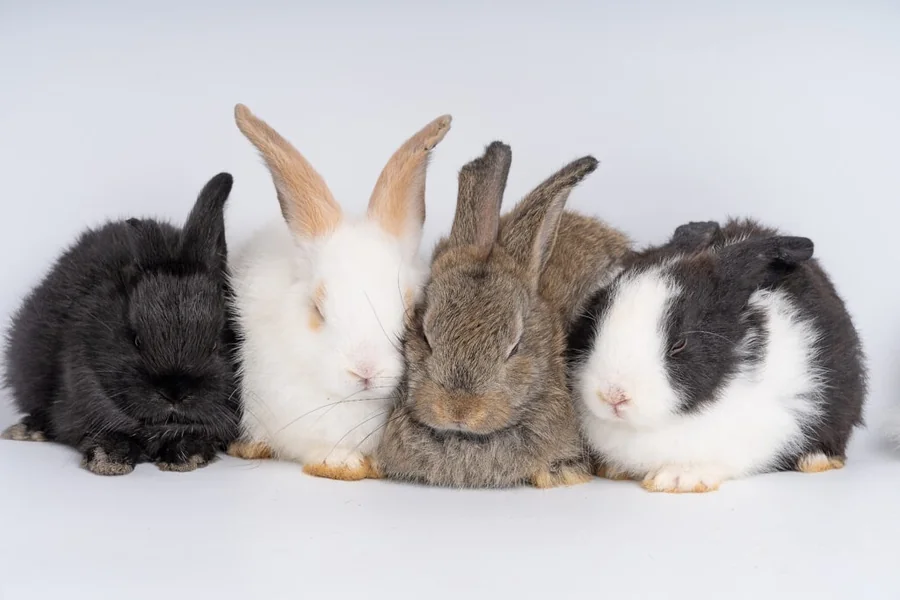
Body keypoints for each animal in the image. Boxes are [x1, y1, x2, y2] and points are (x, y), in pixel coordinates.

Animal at [1, 173, 240, 475]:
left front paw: (185, 457)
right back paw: (27, 430)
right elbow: (104, 433)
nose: (174, 393)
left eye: (215, 344)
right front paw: (109, 461)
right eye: (135, 339)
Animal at [567, 218, 867, 493]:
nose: (613, 396)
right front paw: (614, 469)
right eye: (592, 327)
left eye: (679, 344)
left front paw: (680, 479)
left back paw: (815, 460)